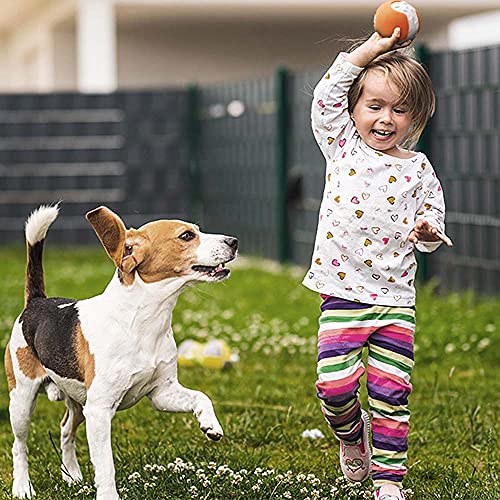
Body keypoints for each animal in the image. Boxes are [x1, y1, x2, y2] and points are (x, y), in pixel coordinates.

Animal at [3, 205, 238, 498]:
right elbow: (106, 465)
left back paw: (72, 475)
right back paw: (22, 486)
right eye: (186, 236)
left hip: (79, 402)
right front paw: (107, 494)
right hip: (22, 400)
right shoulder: (100, 411)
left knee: (66, 430)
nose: (234, 242)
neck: (143, 320)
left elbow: (201, 396)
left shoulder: (162, 393)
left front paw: (210, 424)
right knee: (19, 445)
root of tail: (37, 302)